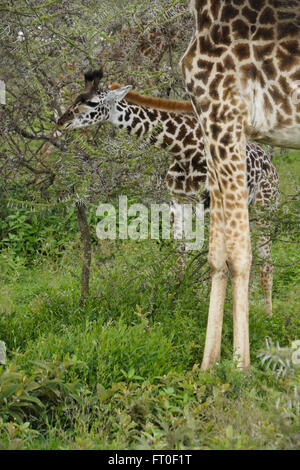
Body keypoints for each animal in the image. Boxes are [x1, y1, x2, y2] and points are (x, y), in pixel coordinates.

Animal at [58, 69, 278, 316]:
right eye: (76, 97)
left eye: (93, 102)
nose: (61, 122)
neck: (184, 152)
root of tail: (269, 160)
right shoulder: (177, 204)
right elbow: (180, 256)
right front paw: (176, 302)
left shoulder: (211, 207)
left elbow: (215, 261)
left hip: (265, 208)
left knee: (267, 261)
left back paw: (268, 315)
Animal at [180, 0, 300, 370]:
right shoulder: (212, 123)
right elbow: (216, 256)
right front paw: (208, 366)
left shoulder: (226, 114)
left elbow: (238, 254)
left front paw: (240, 366)